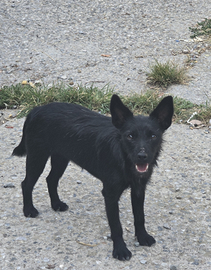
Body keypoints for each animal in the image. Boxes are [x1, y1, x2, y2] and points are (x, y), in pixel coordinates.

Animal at [13, 94, 173, 260]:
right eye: (129, 136)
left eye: (153, 136)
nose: (142, 156)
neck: (123, 159)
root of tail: (35, 110)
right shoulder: (110, 195)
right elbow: (116, 226)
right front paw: (120, 249)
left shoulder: (138, 190)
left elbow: (140, 216)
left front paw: (142, 237)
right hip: (37, 157)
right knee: (26, 183)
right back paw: (29, 210)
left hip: (60, 158)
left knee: (51, 179)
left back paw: (56, 204)